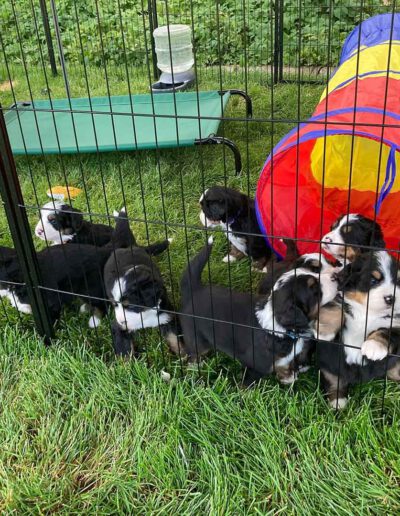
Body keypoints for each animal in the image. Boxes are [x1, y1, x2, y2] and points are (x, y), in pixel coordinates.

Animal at [103, 226, 180, 358]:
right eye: (114, 304)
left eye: (130, 305)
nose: (121, 321)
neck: (144, 314)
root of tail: (129, 247)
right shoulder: (118, 327)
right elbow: (125, 352)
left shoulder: (167, 316)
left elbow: (176, 339)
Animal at [178, 236, 338, 384]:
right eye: (314, 289)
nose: (336, 277)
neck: (280, 328)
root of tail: (195, 289)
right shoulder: (254, 367)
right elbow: (246, 387)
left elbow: (284, 365)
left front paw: (287, 377)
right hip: (196, 338)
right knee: (193, 355)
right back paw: (194, 372)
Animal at [316, 250, 400, 412]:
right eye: (373, 280)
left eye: (399, 283)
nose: (391, 298)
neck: (368, 313)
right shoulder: (340, 301)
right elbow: (336, 309)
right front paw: (323, 331)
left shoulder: (398, 324)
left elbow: (386, 331)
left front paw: (374, 346)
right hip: (329, 366)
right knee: (334, 383)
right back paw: (338, 403)